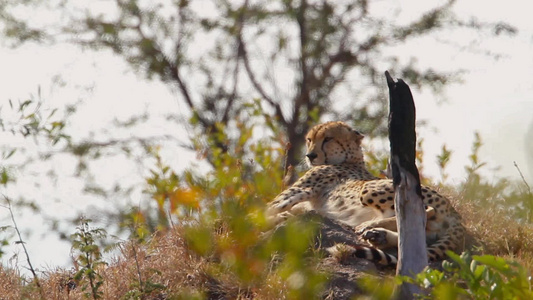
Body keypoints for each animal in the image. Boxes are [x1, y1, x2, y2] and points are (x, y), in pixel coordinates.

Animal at [268, 120, 464, 264]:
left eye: (328, 139)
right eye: (309, 139)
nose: (310, 156)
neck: (350, 159)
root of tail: (456, 213)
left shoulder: (301, 189)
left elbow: (268, 208)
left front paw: (276, 217)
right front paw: (283, 216)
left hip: (371, 189)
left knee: (425, 211)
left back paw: (367, 226)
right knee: (413, 238)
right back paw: (379, 235)